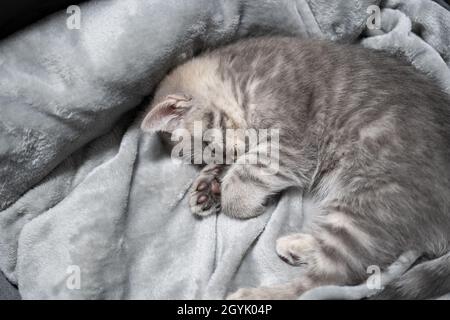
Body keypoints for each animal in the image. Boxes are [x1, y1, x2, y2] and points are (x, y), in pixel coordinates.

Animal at [142, 37, 450, 300]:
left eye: (208, 142)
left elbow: (248, 172)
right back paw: (298, 246)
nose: (228, 155)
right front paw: (209, 185)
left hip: (370, 206)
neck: (241, 77)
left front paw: (237, 199)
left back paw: (258, 294)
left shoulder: (292, 144)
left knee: (324, 283)